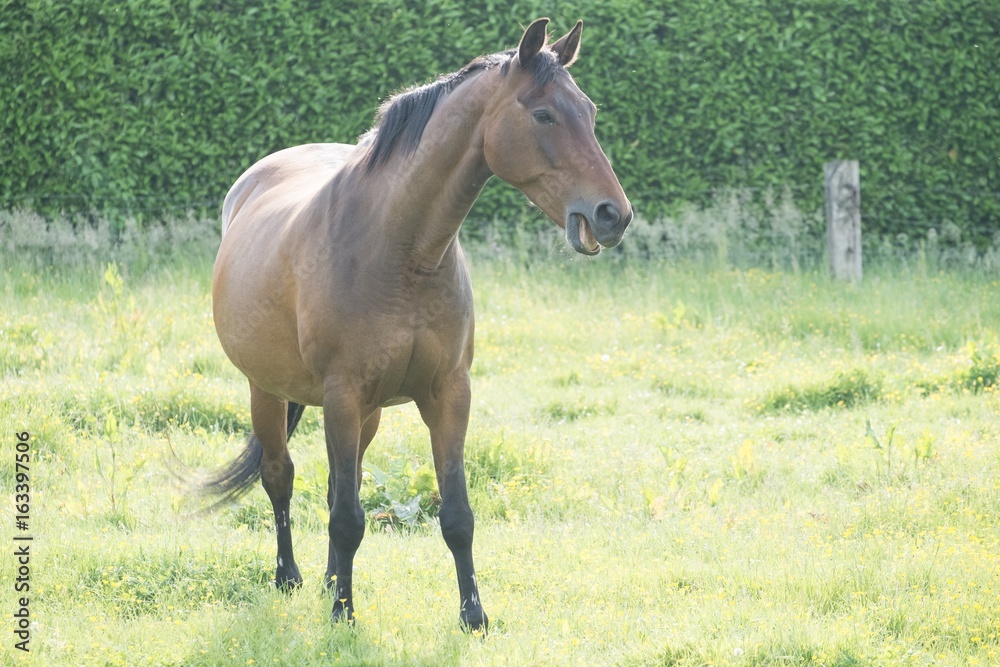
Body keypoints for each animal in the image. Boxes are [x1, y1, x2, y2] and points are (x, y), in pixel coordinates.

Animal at [203, 17, 632, 632]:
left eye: (590, 111)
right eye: (543, 115)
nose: (612, 215)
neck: (400, 250)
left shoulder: (448, 393)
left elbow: (453, 514)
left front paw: (473, 617)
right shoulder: (342, 395)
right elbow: (346, 516)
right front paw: (343, 616)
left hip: (370, 414)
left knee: (337, 484)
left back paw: (330, 579)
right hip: (268, 390)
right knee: (280, 477)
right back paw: (292, 578)